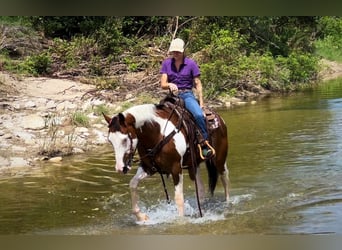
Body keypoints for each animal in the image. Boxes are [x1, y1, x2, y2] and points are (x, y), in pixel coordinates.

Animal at [102, 96, 230, 222]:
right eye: (110, 140)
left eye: (124, 140)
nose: (120, 168)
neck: (158, 133)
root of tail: (218, 118)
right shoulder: (149, 168)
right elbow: (133, 184)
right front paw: (141, 216)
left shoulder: (176, 168)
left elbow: (179, 199)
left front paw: (180, 221)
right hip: (193, 165)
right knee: (201, 188)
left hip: (219, 159)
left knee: (224, 178)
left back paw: (227, 204)